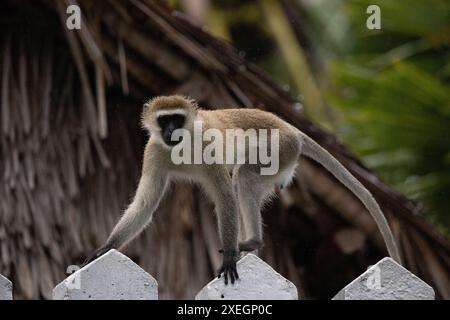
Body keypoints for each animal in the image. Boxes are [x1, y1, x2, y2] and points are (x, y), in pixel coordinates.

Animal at [83, 95, 400, 284]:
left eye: (178, 119)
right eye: (164, 120)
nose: (172, 132)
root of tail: (291, 129)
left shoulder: (208, 147)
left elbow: (225, 197)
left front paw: (228, 258)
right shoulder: (154, 151)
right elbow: (145, 204)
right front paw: (105, 248)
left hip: (280, 151)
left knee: (243, 177)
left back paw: (249, 243)